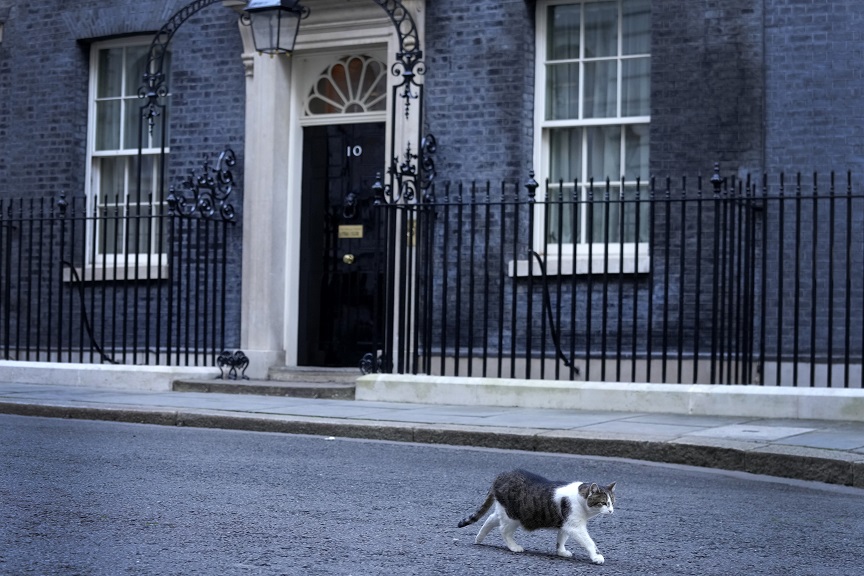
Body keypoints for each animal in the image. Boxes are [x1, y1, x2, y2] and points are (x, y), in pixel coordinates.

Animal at [460, 468, 616, 564]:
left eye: (612, 502)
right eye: (603, 503)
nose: (611, 511)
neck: (580, 498)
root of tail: (500, 476)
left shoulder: (566, 523)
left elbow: (561, 538)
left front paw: (561, 552)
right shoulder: (575, 526)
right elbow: (589, 542)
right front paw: (596, 556)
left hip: (504, 511)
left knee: (491, 519)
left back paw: (479, 538)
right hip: (513, 517)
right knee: (504, 530)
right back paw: (514, 547)